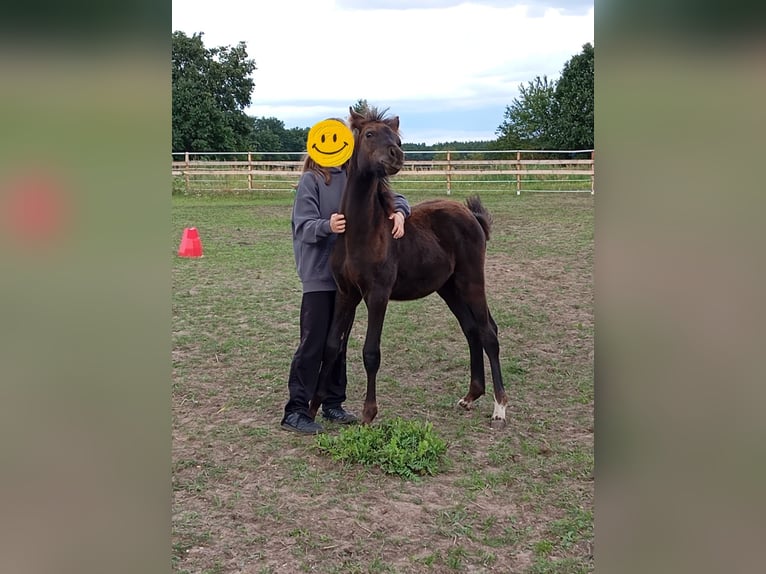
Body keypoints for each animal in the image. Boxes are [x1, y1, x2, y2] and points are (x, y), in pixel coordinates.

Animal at [309, 106, 508, 429]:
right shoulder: (345, 293)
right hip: (449, 287)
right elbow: (330, 346)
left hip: (471, 281)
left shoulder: (377, 295)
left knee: (488, 331)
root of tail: (471, 216)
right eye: (369, 134)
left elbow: (370, 352)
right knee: (471, 329)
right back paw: (470, 396)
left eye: (397, 137)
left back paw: (500, 407)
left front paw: (368, 414)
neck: (362, 233)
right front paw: (311, 409)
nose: (396, 155)